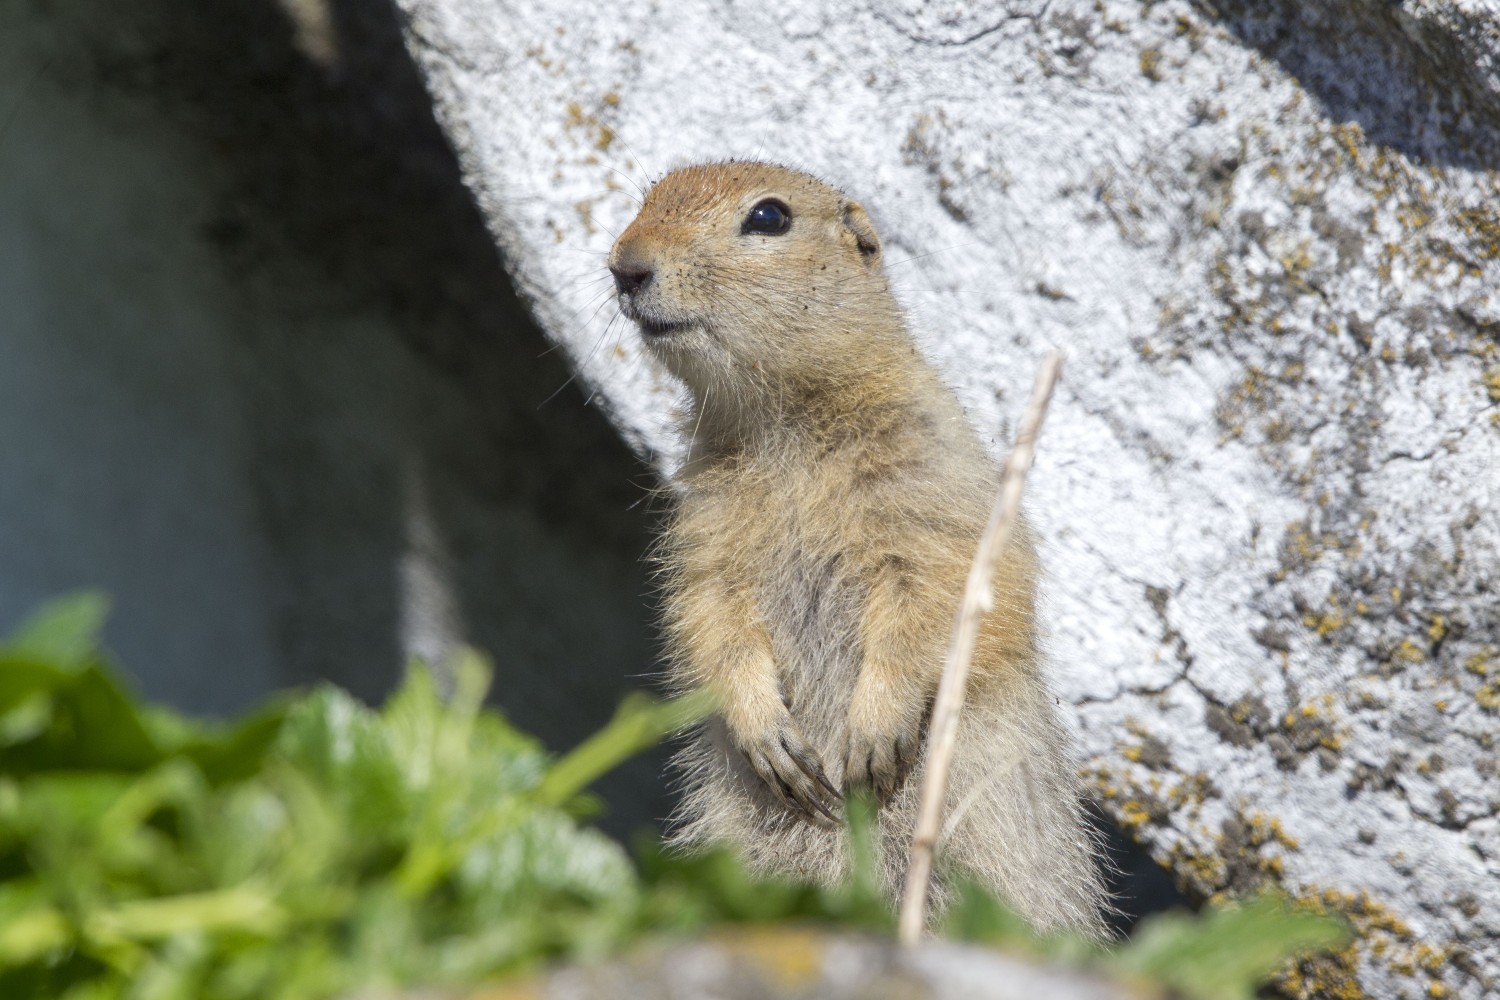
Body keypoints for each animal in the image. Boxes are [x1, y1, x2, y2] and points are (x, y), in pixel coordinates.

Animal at [607, 160, 1108, 937]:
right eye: (646, 200)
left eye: (769, 217)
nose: (624, 265)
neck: (785, 421)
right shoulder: (704, 530)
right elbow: (708, 613)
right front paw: (770, 736)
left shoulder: (930, 487)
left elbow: (933, 598)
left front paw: (871, 737)